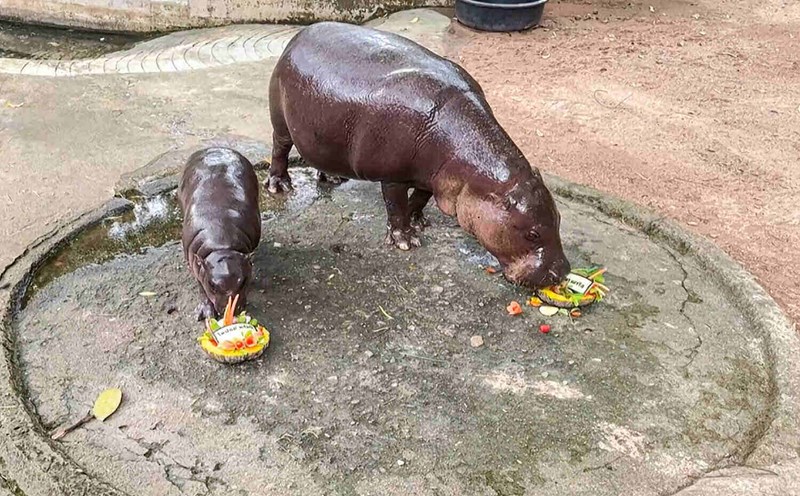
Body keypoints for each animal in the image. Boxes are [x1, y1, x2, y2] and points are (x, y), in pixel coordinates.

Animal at [178, 147, 261, 320]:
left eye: (243, 281)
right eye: (212, 285)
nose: (229, 311)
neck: (221, 243)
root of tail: (214, 147)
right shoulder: (196, 264)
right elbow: (201, 287)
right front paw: (205, 313)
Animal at [266, 22, 570, 288]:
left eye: (559, 218)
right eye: (532, 233)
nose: (563, 273)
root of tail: (298, 36)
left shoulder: (433, 176)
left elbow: (420, 198)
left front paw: (419, 221)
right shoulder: (393, 176)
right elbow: (396, 206)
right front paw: (406, 241)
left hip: (323, 133)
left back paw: (331, 178)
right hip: (280, 121)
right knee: (280, 149)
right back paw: (279, 186)